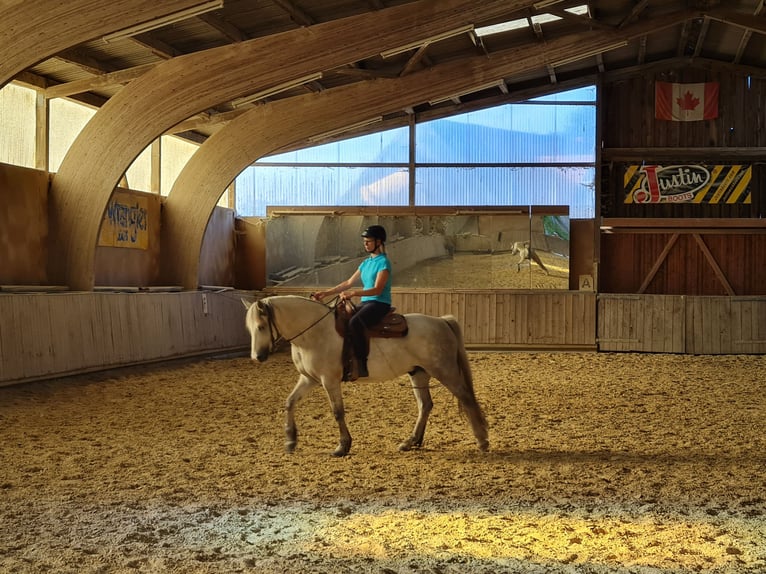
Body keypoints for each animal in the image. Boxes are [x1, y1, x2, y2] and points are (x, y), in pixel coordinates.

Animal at [243, 295, 488, 457]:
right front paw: (291, 440)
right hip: (419, 373)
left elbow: (338, 412)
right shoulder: (309, 379)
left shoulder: (329, 381)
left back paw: (482, 440)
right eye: (250, 328)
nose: (257, 357)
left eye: (261, 326)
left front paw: (343, 446)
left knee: (466, 397)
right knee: (425, 405)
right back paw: (410, 442)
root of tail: (441, 321)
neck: (315, 333)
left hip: (444, 370)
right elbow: (290, 402)